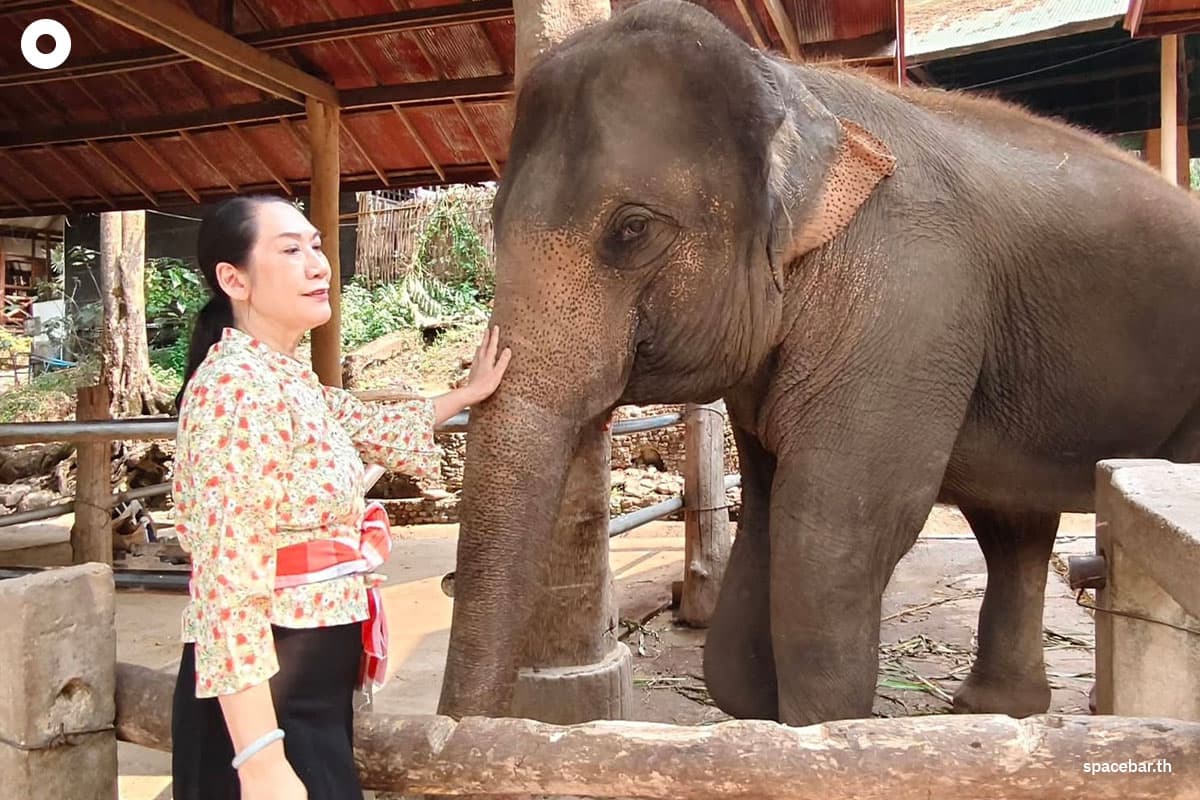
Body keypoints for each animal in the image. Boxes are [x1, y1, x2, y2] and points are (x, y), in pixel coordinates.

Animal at [437, 0, 1200, 727]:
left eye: (632, 230)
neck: (792, 86)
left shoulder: (907, 296)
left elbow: (829, 529)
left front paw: (819, 732)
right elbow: (768, 508)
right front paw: (763, 712)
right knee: (1013, 523)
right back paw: (996, 710)